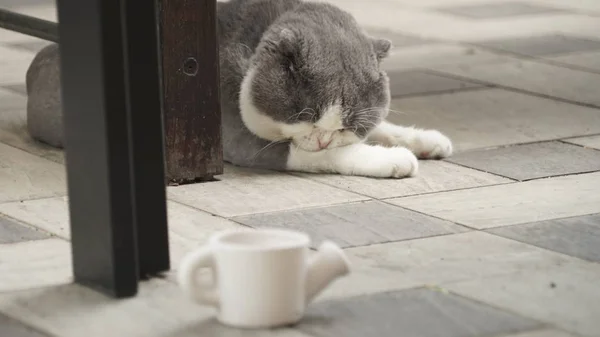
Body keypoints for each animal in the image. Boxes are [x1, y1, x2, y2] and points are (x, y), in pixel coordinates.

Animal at [219, 0, 450, 178]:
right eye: (308, 119)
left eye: (345, 127)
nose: (324, 140)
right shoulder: (240, 139)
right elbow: (333, 154)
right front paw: (396, 158)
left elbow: (382, 127)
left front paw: (427, 140)